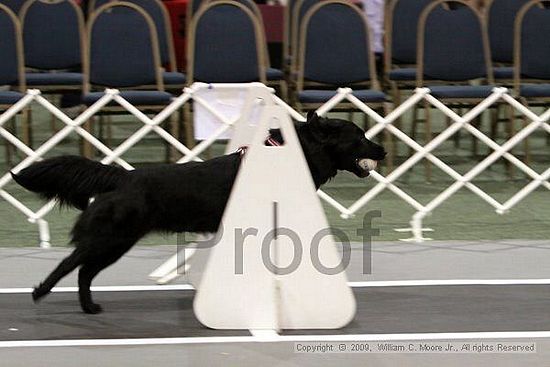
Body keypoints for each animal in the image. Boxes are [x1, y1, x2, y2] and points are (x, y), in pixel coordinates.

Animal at [10, 112, 386, 314]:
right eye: (360, 136)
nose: (382, 150)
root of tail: (123, 175)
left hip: (116, 242)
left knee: (85, 272)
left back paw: (88, 307)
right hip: (111, 237)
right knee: (71, 264)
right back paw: (40, 292)